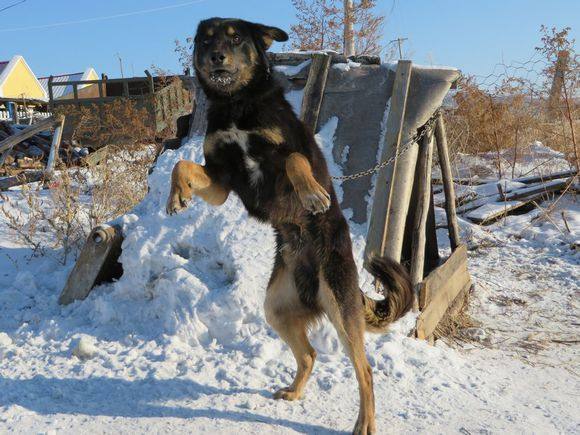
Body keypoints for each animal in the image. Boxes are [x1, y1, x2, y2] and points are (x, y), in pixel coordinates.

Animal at [165, 17, 414, 435]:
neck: (236, 104)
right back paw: (295, 392)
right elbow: (180, 165)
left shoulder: (283, 155)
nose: (216, 57)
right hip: (276, 309)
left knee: (364, 370)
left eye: (236, 38)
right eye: (206, 40)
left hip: (341, 310)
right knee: (310, 354)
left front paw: (313, 194)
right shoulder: (220, 179)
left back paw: (364, 423)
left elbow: (296, 158)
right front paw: (176, 196)